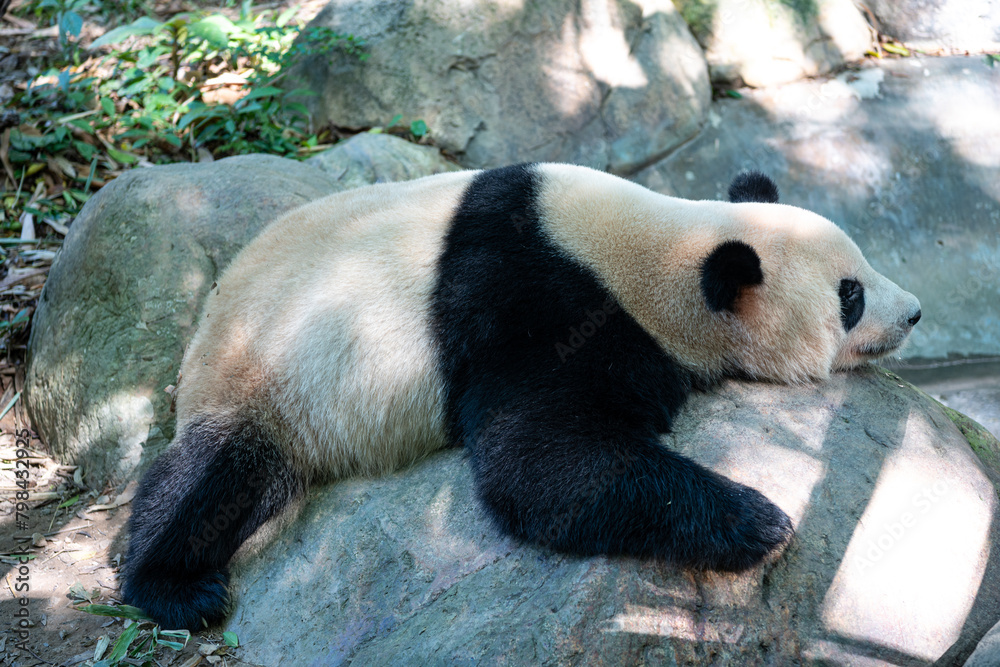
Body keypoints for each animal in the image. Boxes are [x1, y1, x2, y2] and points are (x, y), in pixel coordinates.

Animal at [120, 163, 921, 630]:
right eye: (850, 296)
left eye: (863, 267)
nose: (914, 312)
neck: (654, 245)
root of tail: (199, 341)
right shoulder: (534, 300)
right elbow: (538, 459)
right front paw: (758, 520)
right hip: (267, 378)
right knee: (215, 477)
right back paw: (174, 588)